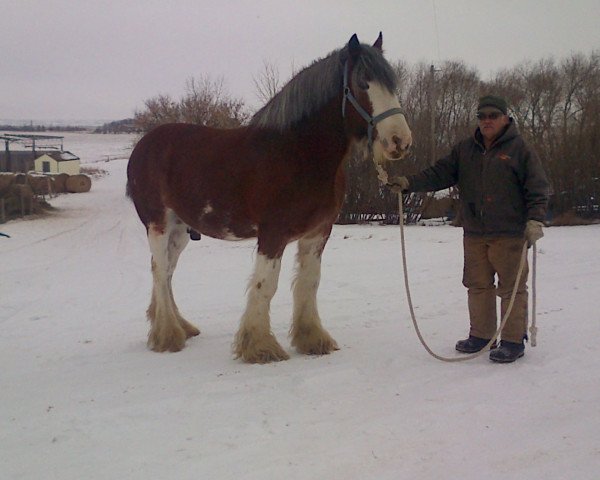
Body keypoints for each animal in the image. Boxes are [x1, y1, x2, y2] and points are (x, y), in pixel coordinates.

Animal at [126, 32, 412, 364]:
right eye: (363, 83)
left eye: (392, 84)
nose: (400, 141)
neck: (297, 152)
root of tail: (144, 144)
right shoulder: (273, 233)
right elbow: (266, 285)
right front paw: (259, 347)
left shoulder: (318, 232)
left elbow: (309, 282)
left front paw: (312, 339)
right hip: (158, 224)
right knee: (160, 271)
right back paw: (168, 336)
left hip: (181, 229)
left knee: (167, 271)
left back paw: (179, 327)